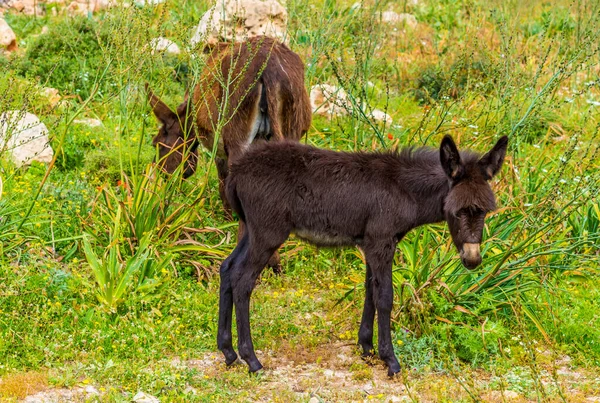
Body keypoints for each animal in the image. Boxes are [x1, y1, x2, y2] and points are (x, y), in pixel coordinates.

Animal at [218, 137, 508, 378]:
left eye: (485, 211)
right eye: (458, 211)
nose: (473, 260)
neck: (404, 190)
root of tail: (237, 171)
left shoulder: (371, 244)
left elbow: (370, 291)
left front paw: (366, 348)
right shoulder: (381, 242)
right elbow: (385, 297)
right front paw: (390, 361)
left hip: (252, 231)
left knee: (227, 268)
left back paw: (228, 352)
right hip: (268, 234)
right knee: (243, 280)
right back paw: (252, 360)